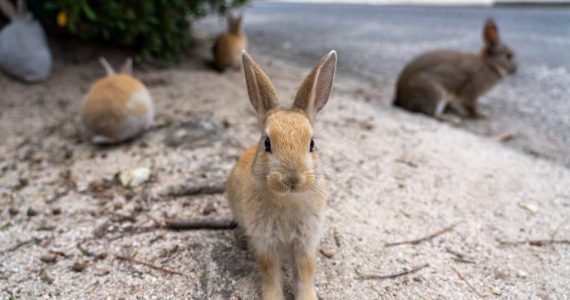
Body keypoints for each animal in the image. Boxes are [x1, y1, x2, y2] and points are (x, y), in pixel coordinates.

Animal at [224, 50, 336, 300]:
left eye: (312, 143)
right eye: (267, 143)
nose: (293, 179)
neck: (287, 199)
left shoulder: (305, 243)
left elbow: (305, 272)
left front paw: (308, 297)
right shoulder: (266, 243)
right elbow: (270, 272)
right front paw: (273, 296)